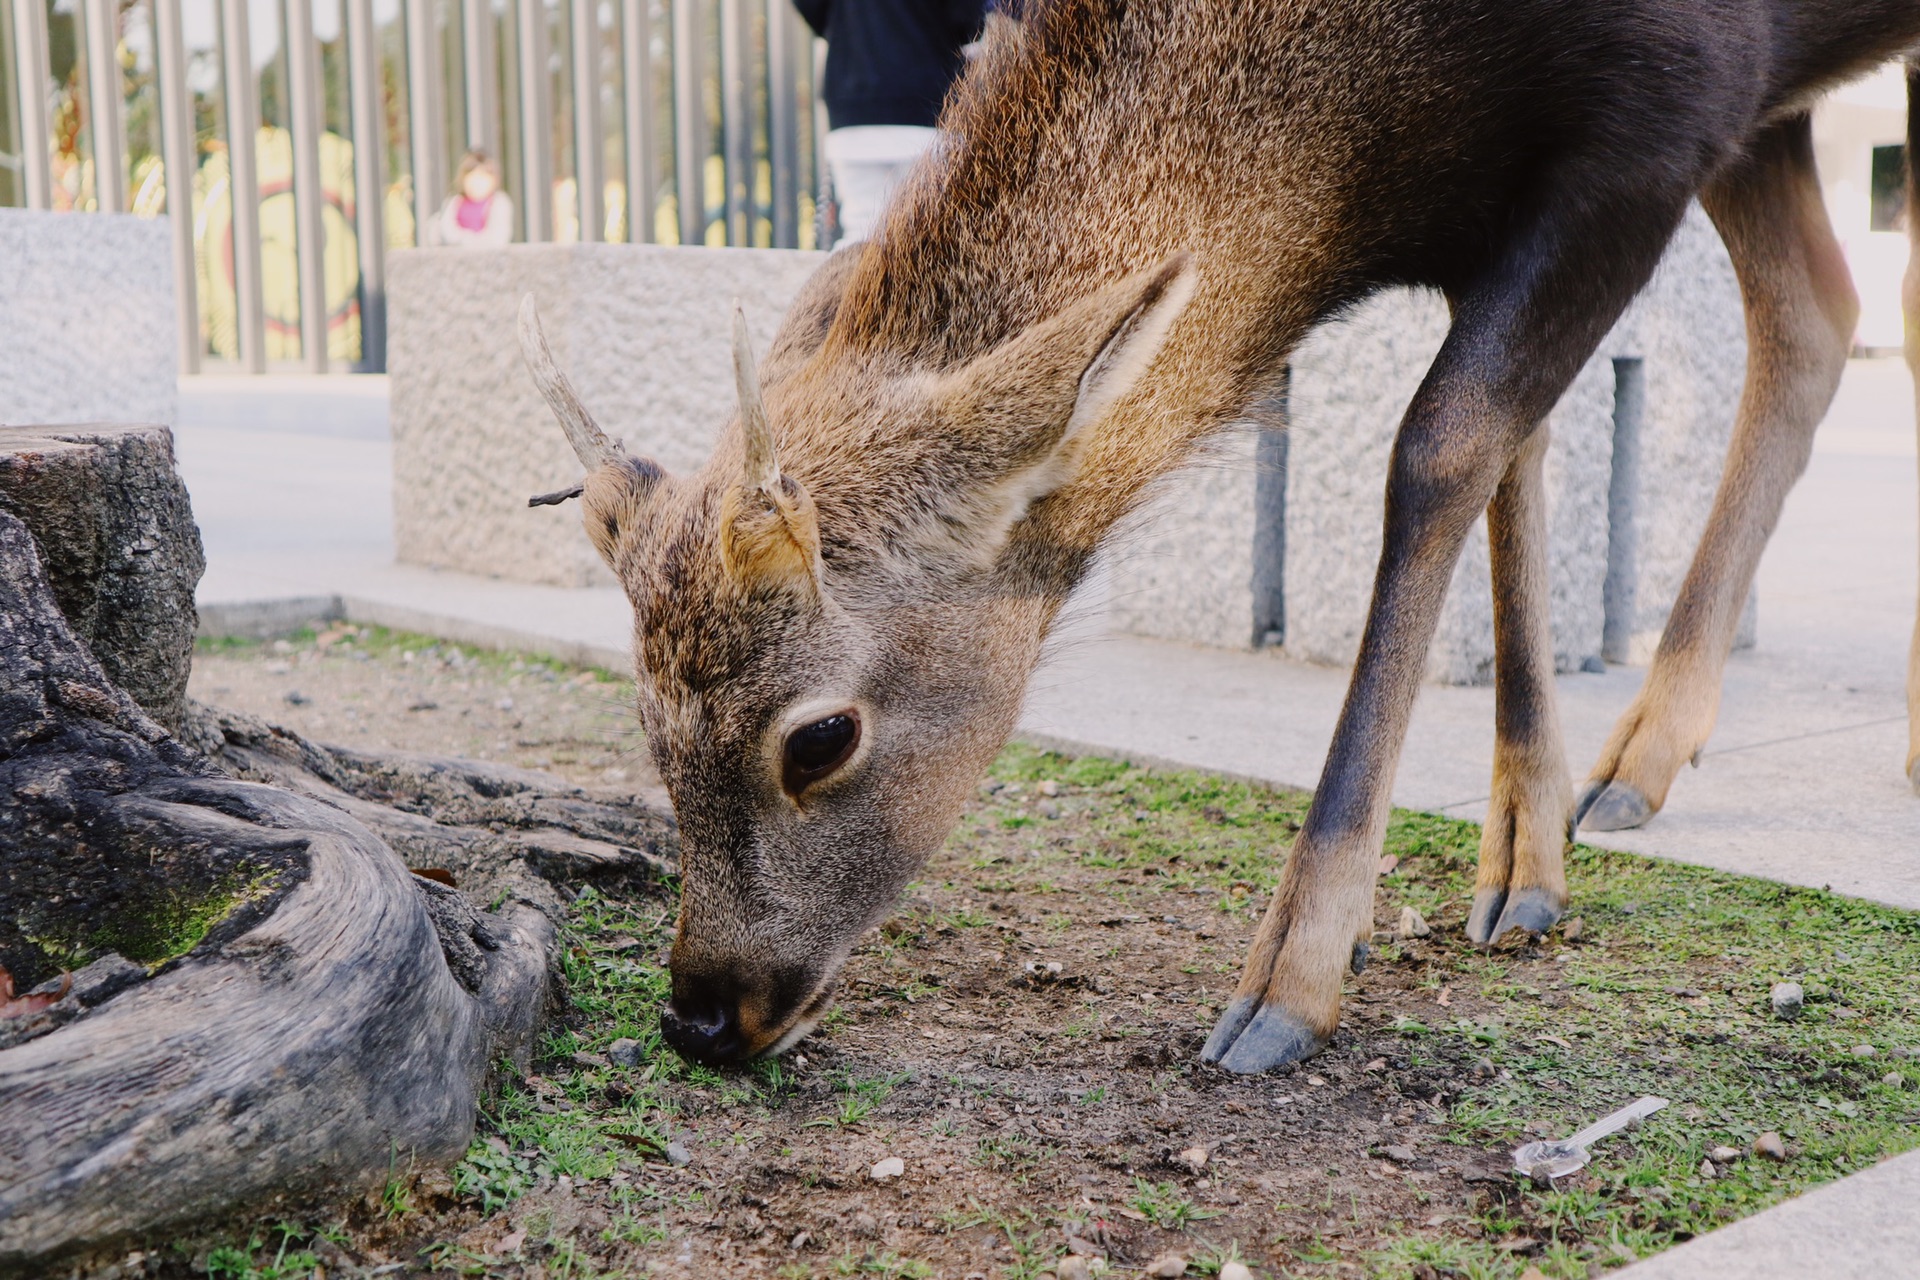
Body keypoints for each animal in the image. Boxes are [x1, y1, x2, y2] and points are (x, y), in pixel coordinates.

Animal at [518, 0, 1920, 1074]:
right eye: (641, 715)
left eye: (818, 735)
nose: (702, 1010)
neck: (1388, 133)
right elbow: (1516, 449)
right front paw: (1527, 857)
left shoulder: (1667, 115)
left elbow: (1440, 447)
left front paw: (1291, 973)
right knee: (1816, 306)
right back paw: (1650, 755)